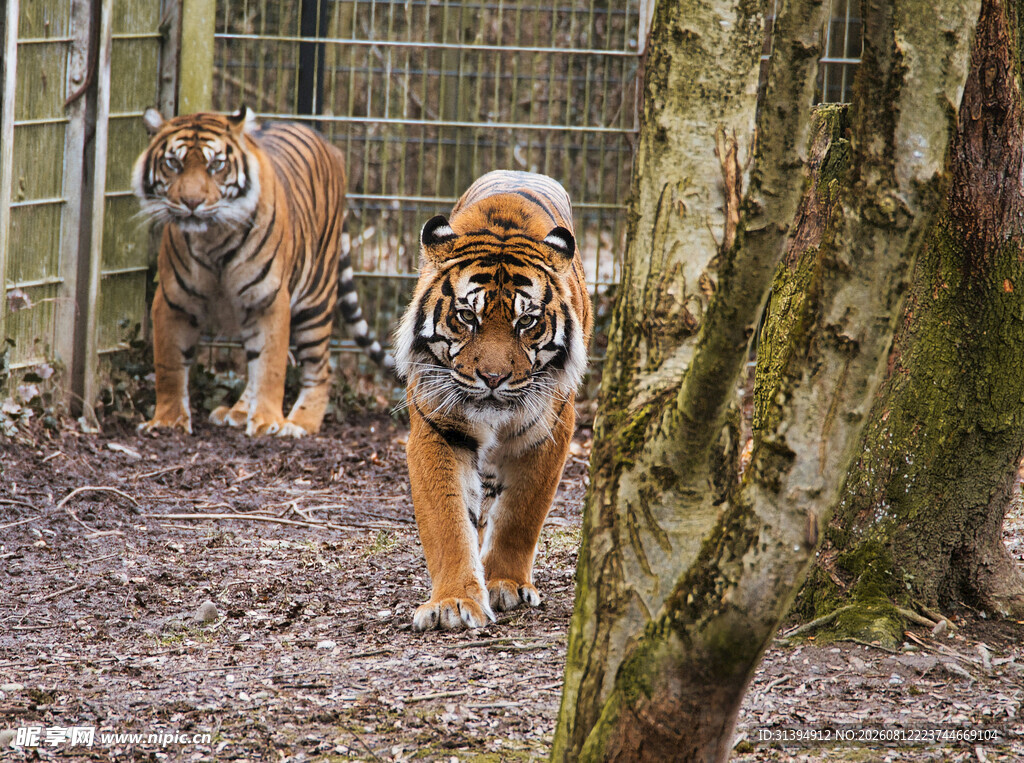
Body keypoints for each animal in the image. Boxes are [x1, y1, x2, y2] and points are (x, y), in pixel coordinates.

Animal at [131, 106, 392, 438]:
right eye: (173, 163)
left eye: (216, 165)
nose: (191, 202)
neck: (213, 238)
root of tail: (326, 142)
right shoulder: (173, 301)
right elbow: (169, 366)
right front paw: (168, 419)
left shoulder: (268, 300)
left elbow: (271, 367)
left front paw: (268, 422)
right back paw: (240, 411)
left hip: (316, 299)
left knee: (321, 368)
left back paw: (300, 423)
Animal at [394, 170, 592, 631]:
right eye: (468, 316)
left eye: (527, 321)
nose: (493, 377)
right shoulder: (439, 428)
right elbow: (448, 521)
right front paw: (453, 602)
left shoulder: (549, 432)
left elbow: (521, 513)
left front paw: (505, 584)